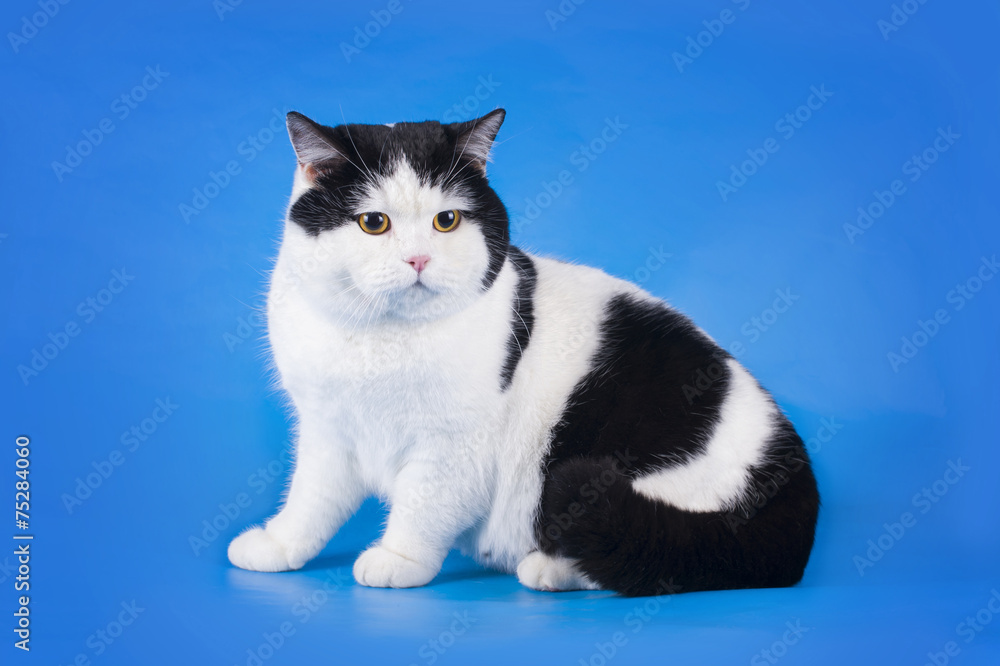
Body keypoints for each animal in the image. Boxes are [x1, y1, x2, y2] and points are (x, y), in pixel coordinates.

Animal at [229, 109, 820, 596]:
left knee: (653, 555)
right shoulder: (328, 428)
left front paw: (398, 558)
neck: (381, 336)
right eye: (373, 223)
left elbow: (423, 503)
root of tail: (795, 481)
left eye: (447, 220)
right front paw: (279, 544)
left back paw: (550, 568)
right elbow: (312, 497)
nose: (418, 260)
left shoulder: (456, 446)